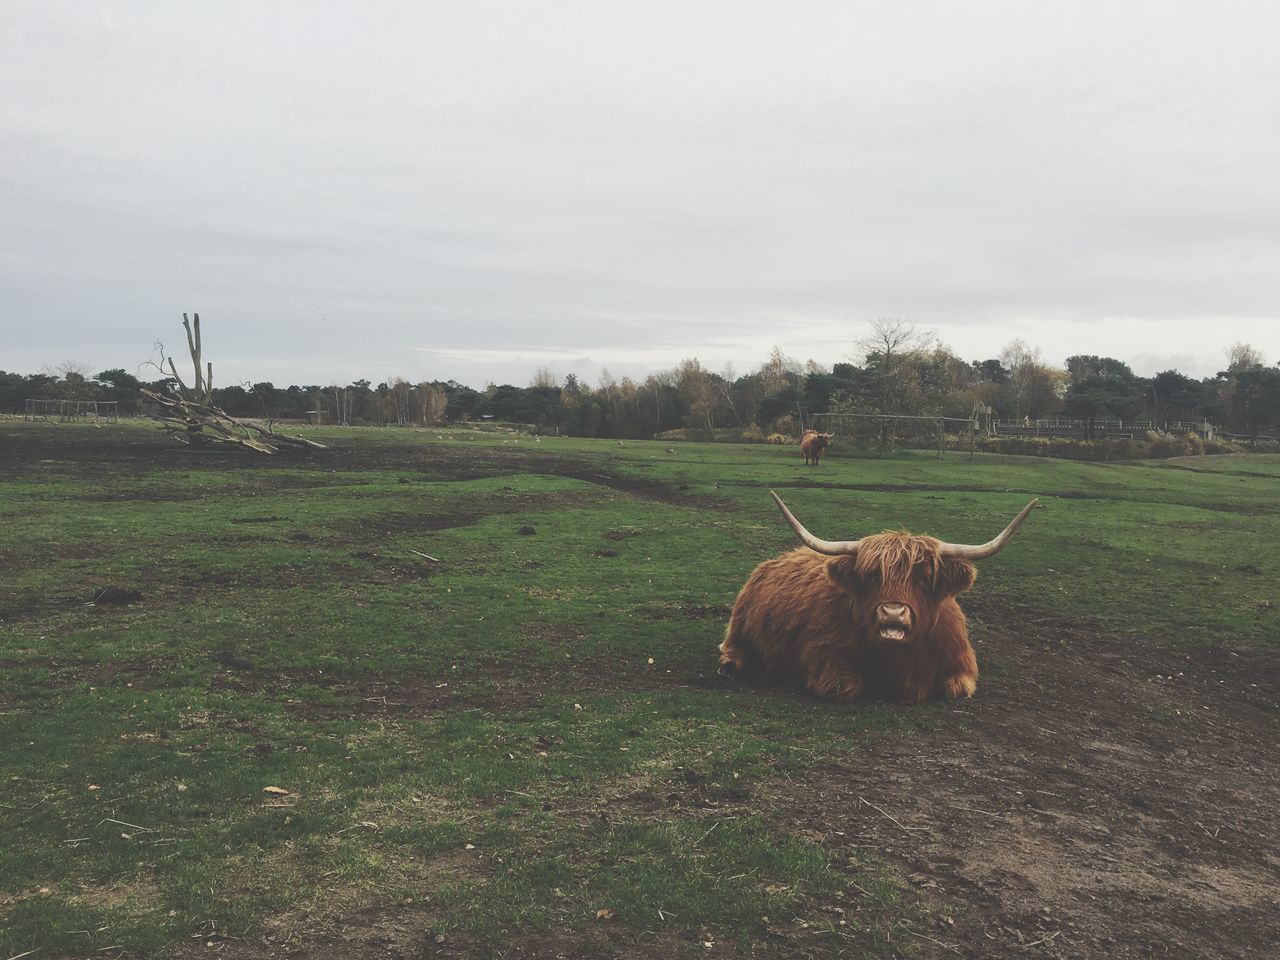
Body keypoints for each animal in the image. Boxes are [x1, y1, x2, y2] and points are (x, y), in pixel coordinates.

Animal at [721, 491, 1039, 701]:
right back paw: (730, 663)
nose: (893, 613)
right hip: (740, 621)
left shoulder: (962, 664)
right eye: (872, 575)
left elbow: (956, 689)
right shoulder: (825, 656)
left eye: (923, 577)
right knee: (732, 644)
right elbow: (847, 686)